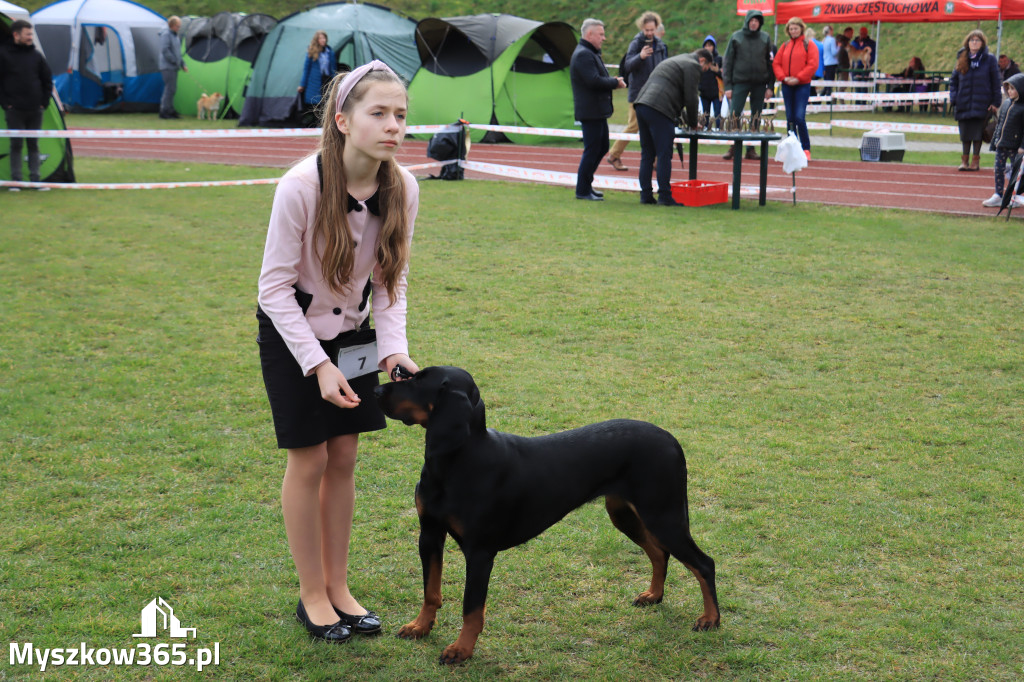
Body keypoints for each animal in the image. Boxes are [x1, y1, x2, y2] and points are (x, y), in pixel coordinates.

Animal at [372, 366, 716, 663]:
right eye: (410, 375)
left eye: (419, 381)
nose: (375, 390)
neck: (456, 461)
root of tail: (671, 440)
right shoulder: (429, 534)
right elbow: (430, 590)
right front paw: (420, 627)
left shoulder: (480, 552)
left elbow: (472, 608)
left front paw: (461, 650)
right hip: (625, 514)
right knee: (660, 553)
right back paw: (654, 595)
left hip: (663, 515)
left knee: (703, 563)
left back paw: (710, 619)